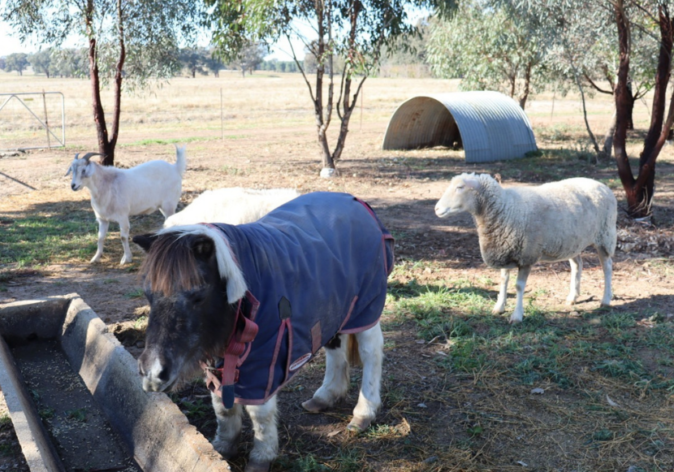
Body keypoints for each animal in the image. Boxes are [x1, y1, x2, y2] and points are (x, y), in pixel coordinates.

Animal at [436, 174, 616, 324]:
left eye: (460, 187)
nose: (436, 209)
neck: (506, 209)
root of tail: (601, 184)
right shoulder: (505, 251)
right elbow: (503, 281)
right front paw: (499, 307)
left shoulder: (527, 256)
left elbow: (518, 287)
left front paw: (517, 315)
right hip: (571, 241)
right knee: (577, 264)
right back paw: (573, 297)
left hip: (605, 235)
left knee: (607, 267)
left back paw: (606, 299)